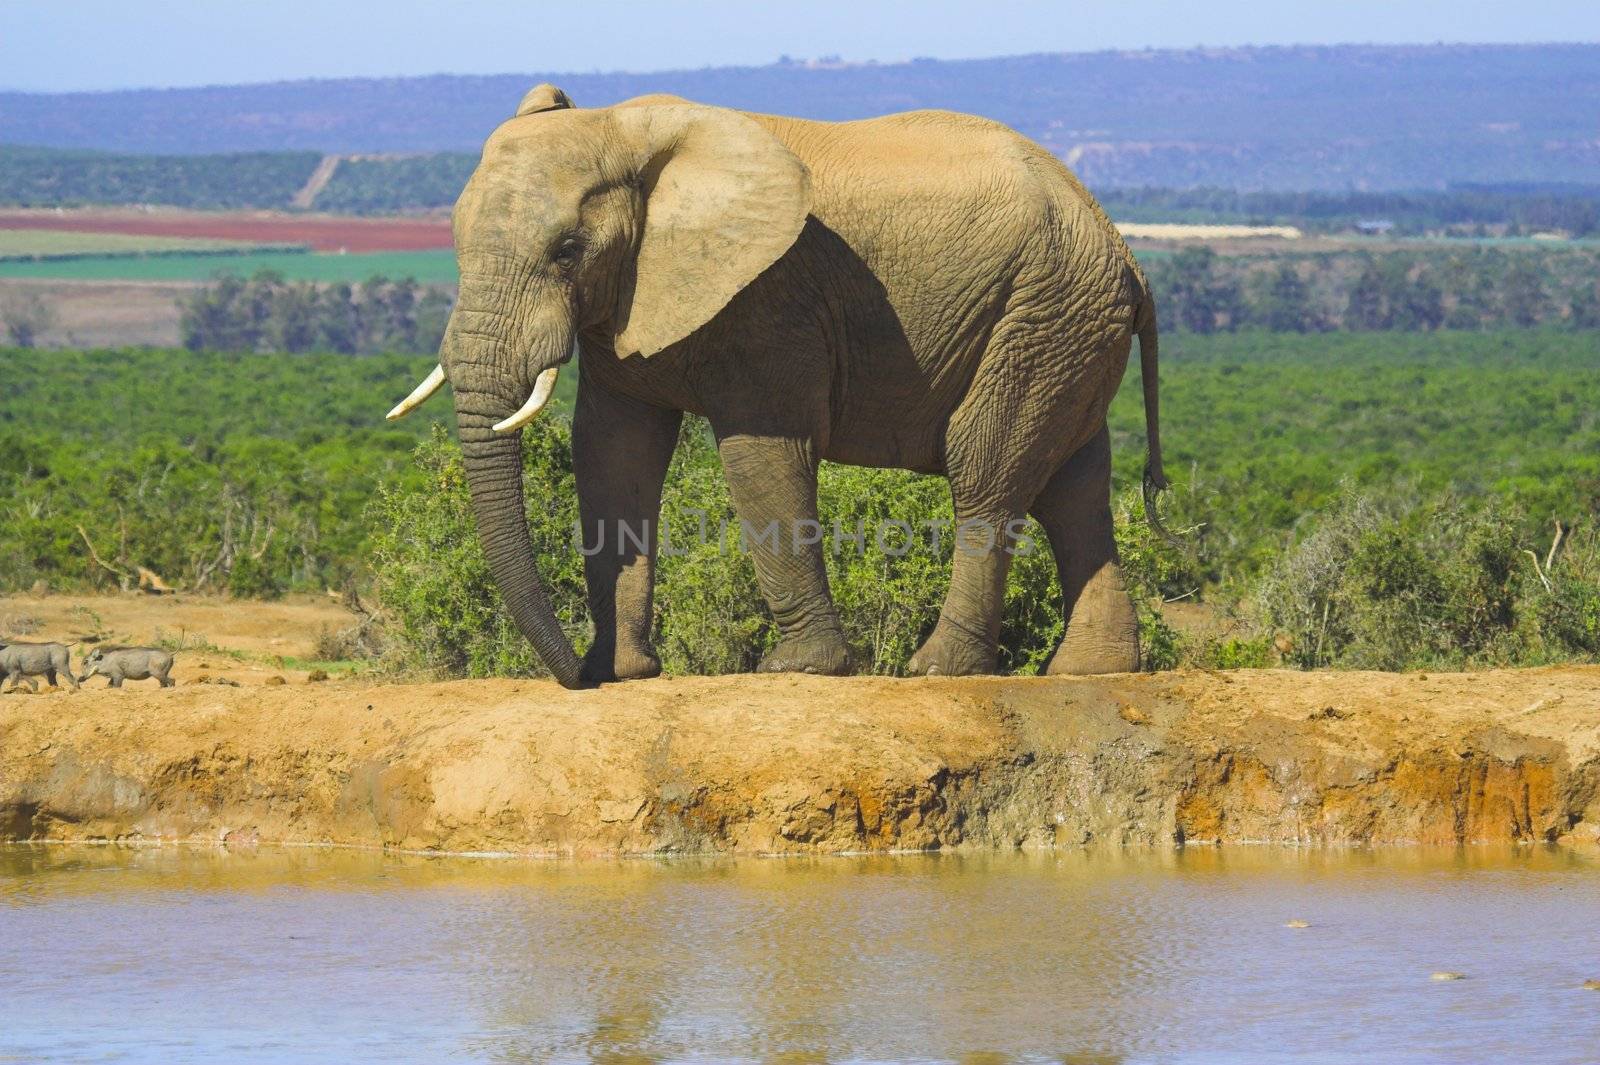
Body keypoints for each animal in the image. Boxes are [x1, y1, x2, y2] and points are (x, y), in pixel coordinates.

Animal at [384, 80, 1164, 681]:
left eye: (568, 250)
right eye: (451, 242)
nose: (574, 673)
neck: (626, 131)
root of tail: (1127, 255)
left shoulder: (771, 298)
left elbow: (763, 453)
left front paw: (801, 669)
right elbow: (613, 452)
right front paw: (622, 673)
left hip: (1042, 311)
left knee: (987, 472)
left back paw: (938, 670)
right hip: (1066, 327)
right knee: (1075, 487)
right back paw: (1092, 670)